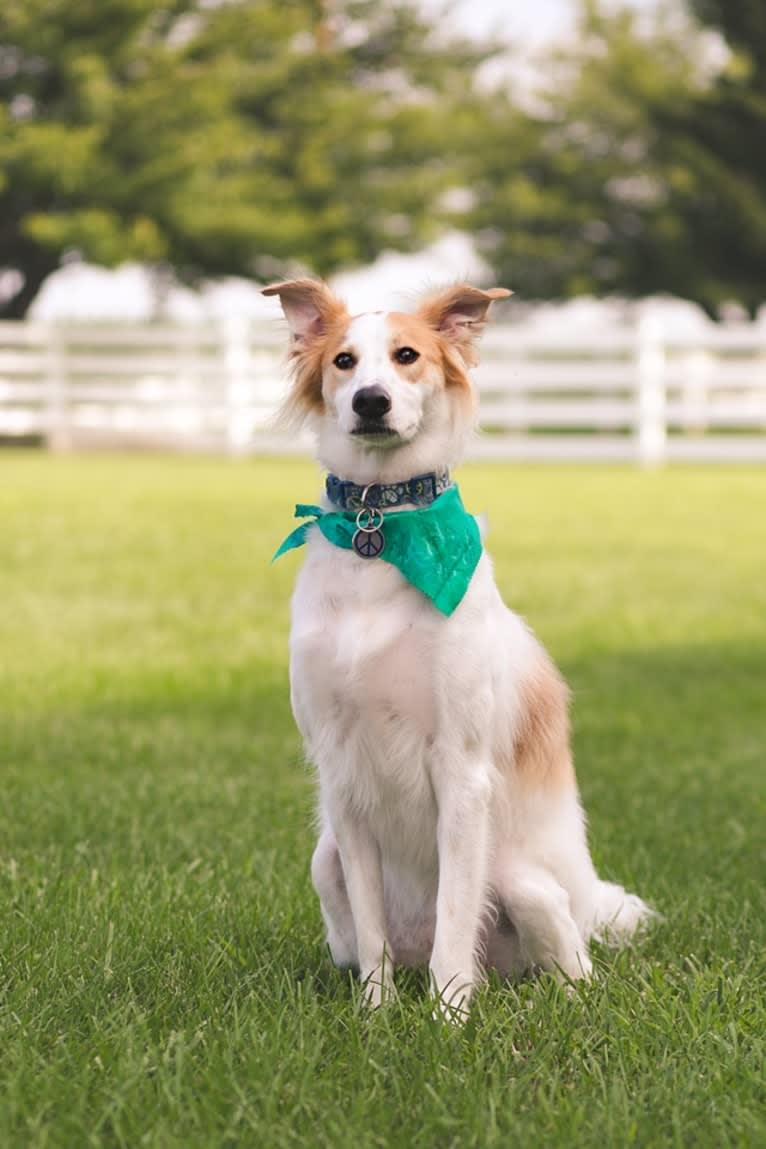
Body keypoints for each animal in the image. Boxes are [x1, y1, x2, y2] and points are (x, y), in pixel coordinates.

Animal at [264, 278, 652, 1015]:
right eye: (344, 361)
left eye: (407, 355)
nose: (371, 401)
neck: (384, 531)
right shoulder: (342, 771)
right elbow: (372, 932)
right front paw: (378, 1015)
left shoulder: (461, 767)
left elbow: (455, 914)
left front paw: (449, 1019)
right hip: (323, 860)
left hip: (526, 884)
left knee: (569, 968)